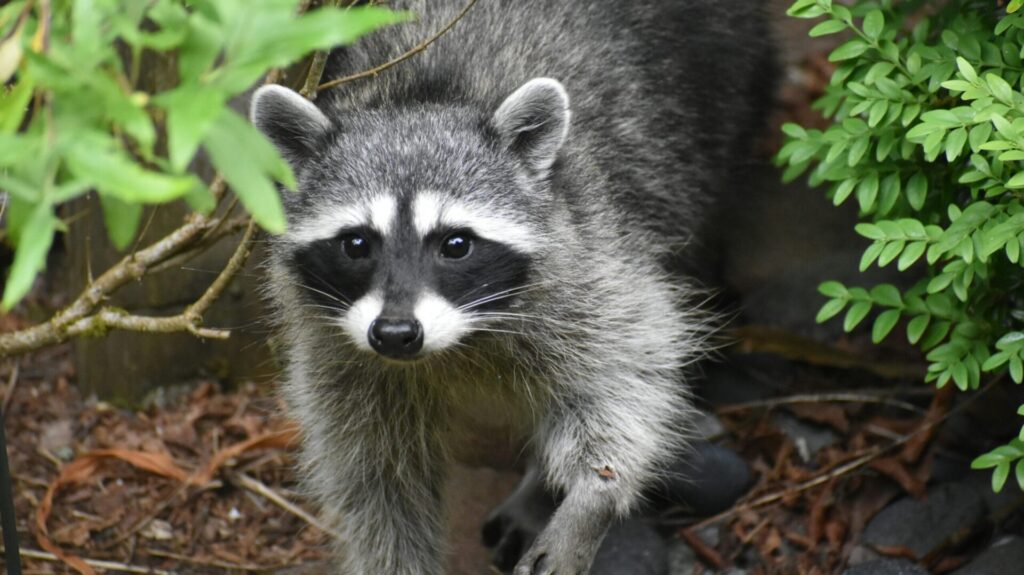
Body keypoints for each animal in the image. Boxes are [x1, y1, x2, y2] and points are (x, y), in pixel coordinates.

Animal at [251, 0, 771, 573]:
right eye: (357, 244)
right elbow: (374, 478)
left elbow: (626, 374)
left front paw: (593, 493)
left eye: (455, 244)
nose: (395, 334)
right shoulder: (337, 351)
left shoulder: (592, 258)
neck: (418, 97)